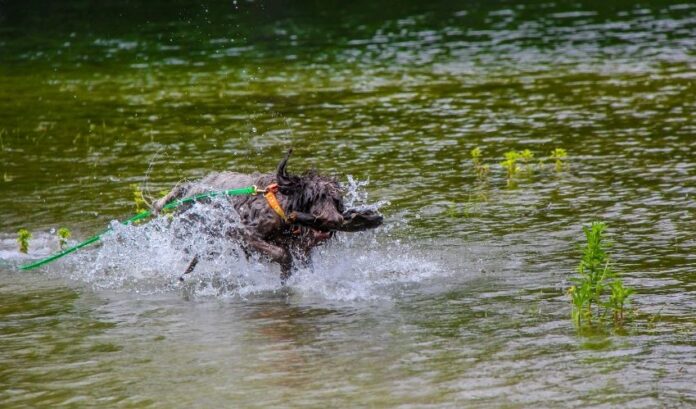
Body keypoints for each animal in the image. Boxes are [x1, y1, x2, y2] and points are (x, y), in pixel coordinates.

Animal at [153, 149, 384, 280]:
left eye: (336, 201)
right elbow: (281, 254)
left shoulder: (302, 249)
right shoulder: (246, 234)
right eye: (314, 197)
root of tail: (189, 188)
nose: (334, 220)